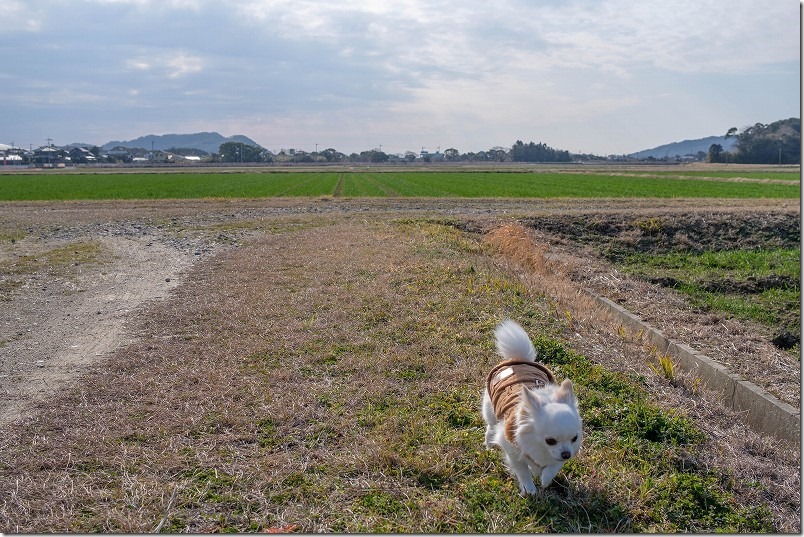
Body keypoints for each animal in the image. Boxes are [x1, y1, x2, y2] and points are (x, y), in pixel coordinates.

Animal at [480, 318, 580, 494]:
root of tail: (517, 359)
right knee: (490, 427)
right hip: (491, 410)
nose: (567, 454)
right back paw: (489, 444)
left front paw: (545, 478)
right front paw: (529, 488)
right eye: (550, 441)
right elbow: (521, 468)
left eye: (574, 439)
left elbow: (553, 466)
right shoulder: (510, 445)